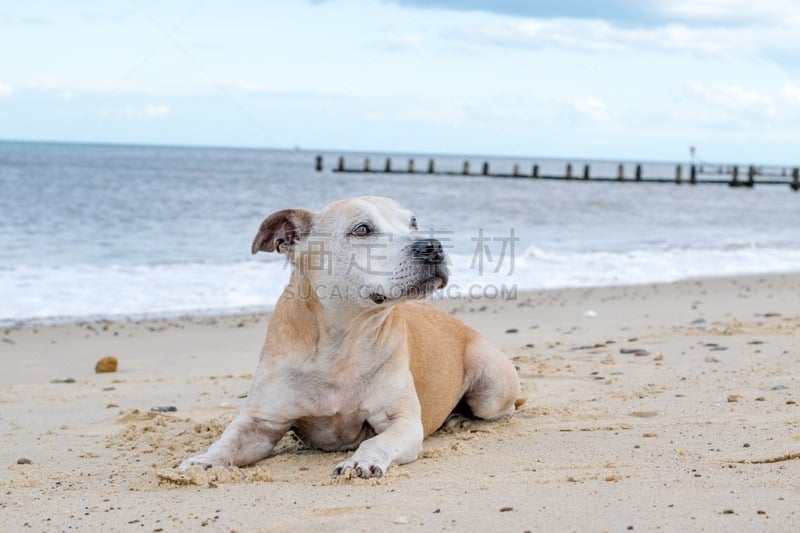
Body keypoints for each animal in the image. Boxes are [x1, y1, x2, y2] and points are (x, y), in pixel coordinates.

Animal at [178, 195, 520, 478]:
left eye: (413, 222)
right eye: (362, 230)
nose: (433, 246)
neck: (344, 339)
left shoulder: (404, 423)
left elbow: (376, 442)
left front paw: (360, 461)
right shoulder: (260, 422)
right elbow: (227, 442)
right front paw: (203, 460)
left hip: (490, 383)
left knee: (505, 409)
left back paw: (463, 418)